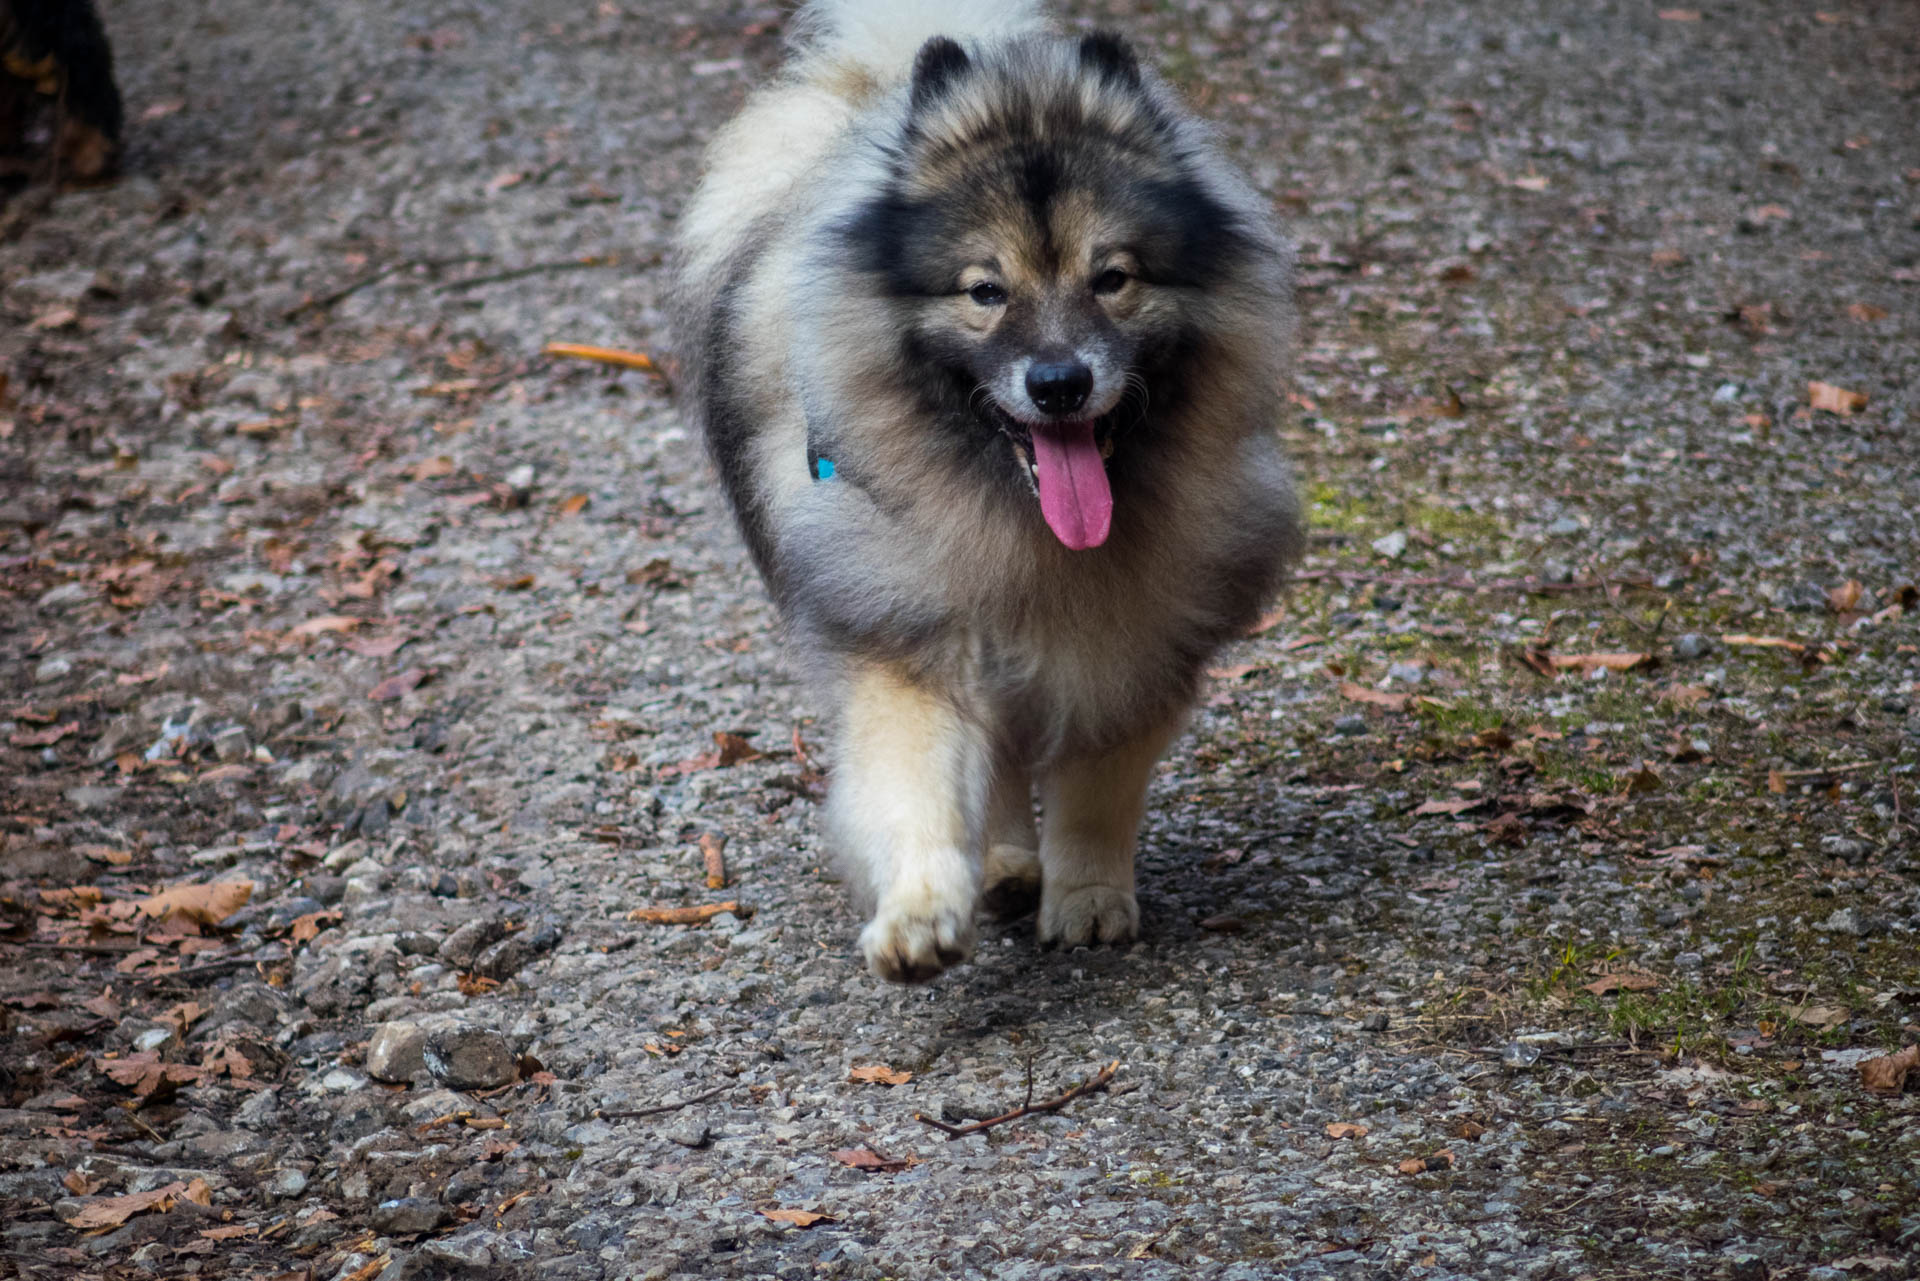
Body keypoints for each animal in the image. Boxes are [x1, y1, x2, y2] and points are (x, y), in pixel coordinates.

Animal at [679, 0, 1305, 983]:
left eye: (1112, 279)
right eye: (985, 290)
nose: (1059, 383)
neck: (1031, 529)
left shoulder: (1137, 640)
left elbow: (1096, 787)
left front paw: (1088, 897)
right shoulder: (912, 632)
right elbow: (916, 783)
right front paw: (919, 912)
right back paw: (1004, 864)